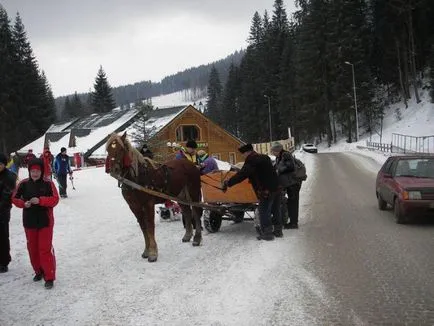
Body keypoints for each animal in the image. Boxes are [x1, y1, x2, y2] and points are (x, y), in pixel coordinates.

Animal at [105, 131, 202, 262]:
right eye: (108, 149)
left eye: (121, 149)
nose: (114, 169)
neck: (137, 178)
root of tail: (191, 164)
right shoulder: (134, 207)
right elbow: (143, 227)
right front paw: (146, 251)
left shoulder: (148, 204)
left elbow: (150, 226)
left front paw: (153, 253)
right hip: (180, 195)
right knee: (186, 212)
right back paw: (187, 235)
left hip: (193, 192)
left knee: (196, 212)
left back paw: (197, 238)